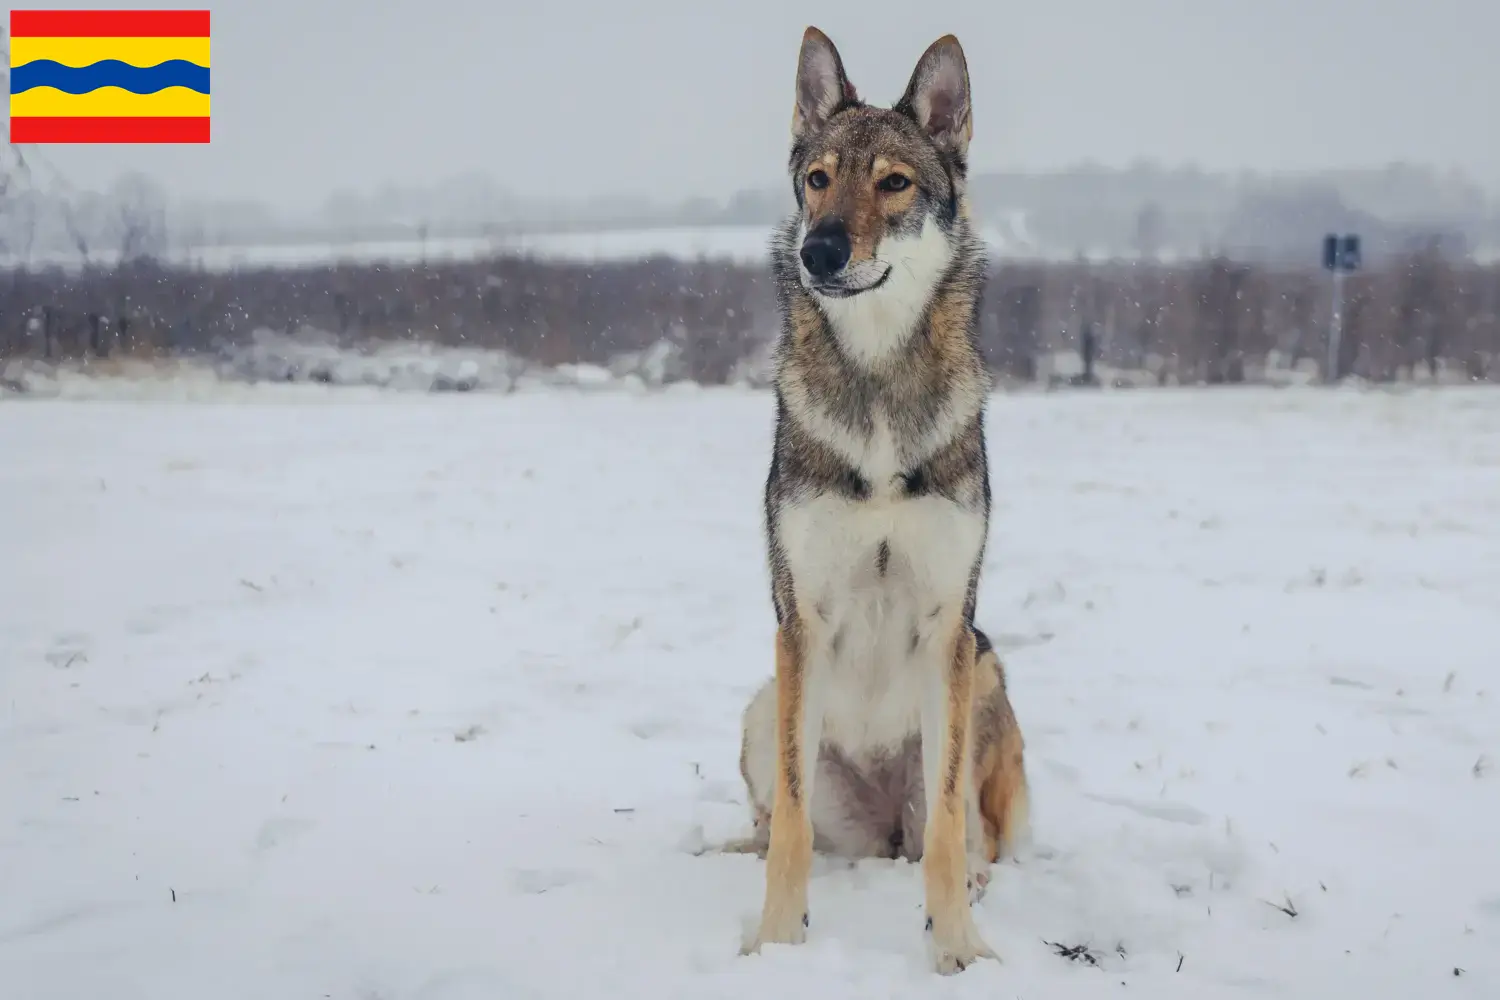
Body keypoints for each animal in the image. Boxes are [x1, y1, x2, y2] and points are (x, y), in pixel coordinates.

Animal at [729, 25, 1032, 977]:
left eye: (894, 182)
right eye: (819, 178)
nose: (819, 252)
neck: (877, 382)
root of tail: (878, 829)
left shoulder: (946, 624)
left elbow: (946, 827)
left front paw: (958, 948)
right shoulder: (802, 619)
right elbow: (791, 827)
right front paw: (776, 943)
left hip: (983, 668)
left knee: (961, 833)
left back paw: (972, 879)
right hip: (766, 701)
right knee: (777, 826)